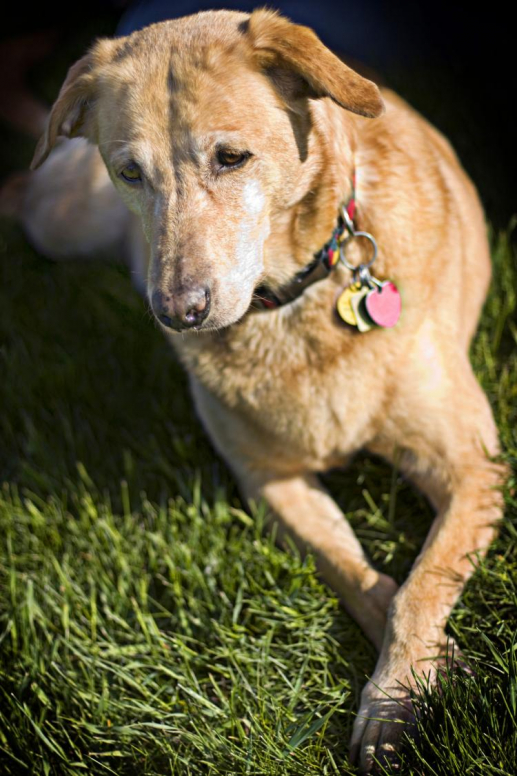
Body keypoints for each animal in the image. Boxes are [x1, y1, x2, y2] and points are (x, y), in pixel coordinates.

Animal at [20, 9, 504, 772]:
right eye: (130, 171)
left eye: (231, 158)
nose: (177, 312)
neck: (290, 307)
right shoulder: (269, 482)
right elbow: (361, 577)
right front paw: (425, 680)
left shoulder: (473, 464)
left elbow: (421, 583)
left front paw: (397, 697)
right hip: (59, 219)